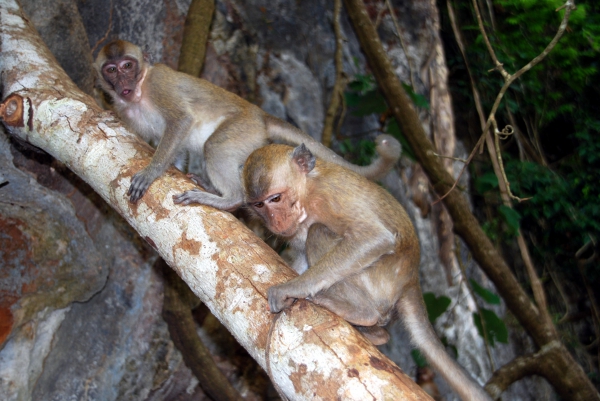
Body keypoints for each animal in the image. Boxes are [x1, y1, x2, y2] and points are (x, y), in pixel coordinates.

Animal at [94, 39, 400, 209]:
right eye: (111, 70)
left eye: (128, 66)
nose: (123, 83)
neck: (139, 92)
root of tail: (259, 114)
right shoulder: (124, 109)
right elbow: (175, 147)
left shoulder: (159, 84)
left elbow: (181, 121)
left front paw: (151, 172)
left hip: (243, 128)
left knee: (215, 147)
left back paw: (229, 199)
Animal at [240, 144, 492, 400]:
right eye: (259, 205)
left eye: (276, 198)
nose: (275, 221)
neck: (307, 194)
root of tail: (411, 279)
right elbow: (301, 256)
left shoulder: (330, 195)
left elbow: (373, 237)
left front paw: (293, 288)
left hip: (381, 281)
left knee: (318, 232)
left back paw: (363, 314)